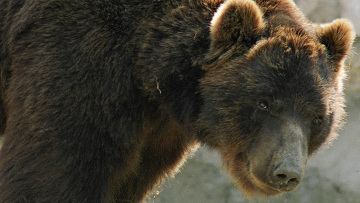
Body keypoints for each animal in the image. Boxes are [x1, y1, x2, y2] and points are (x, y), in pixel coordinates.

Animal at [0, 0, 354, 202]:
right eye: (264, 102)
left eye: (317, 116)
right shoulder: (79, 54)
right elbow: (55, 167)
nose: (285, 172)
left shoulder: (158, 131)